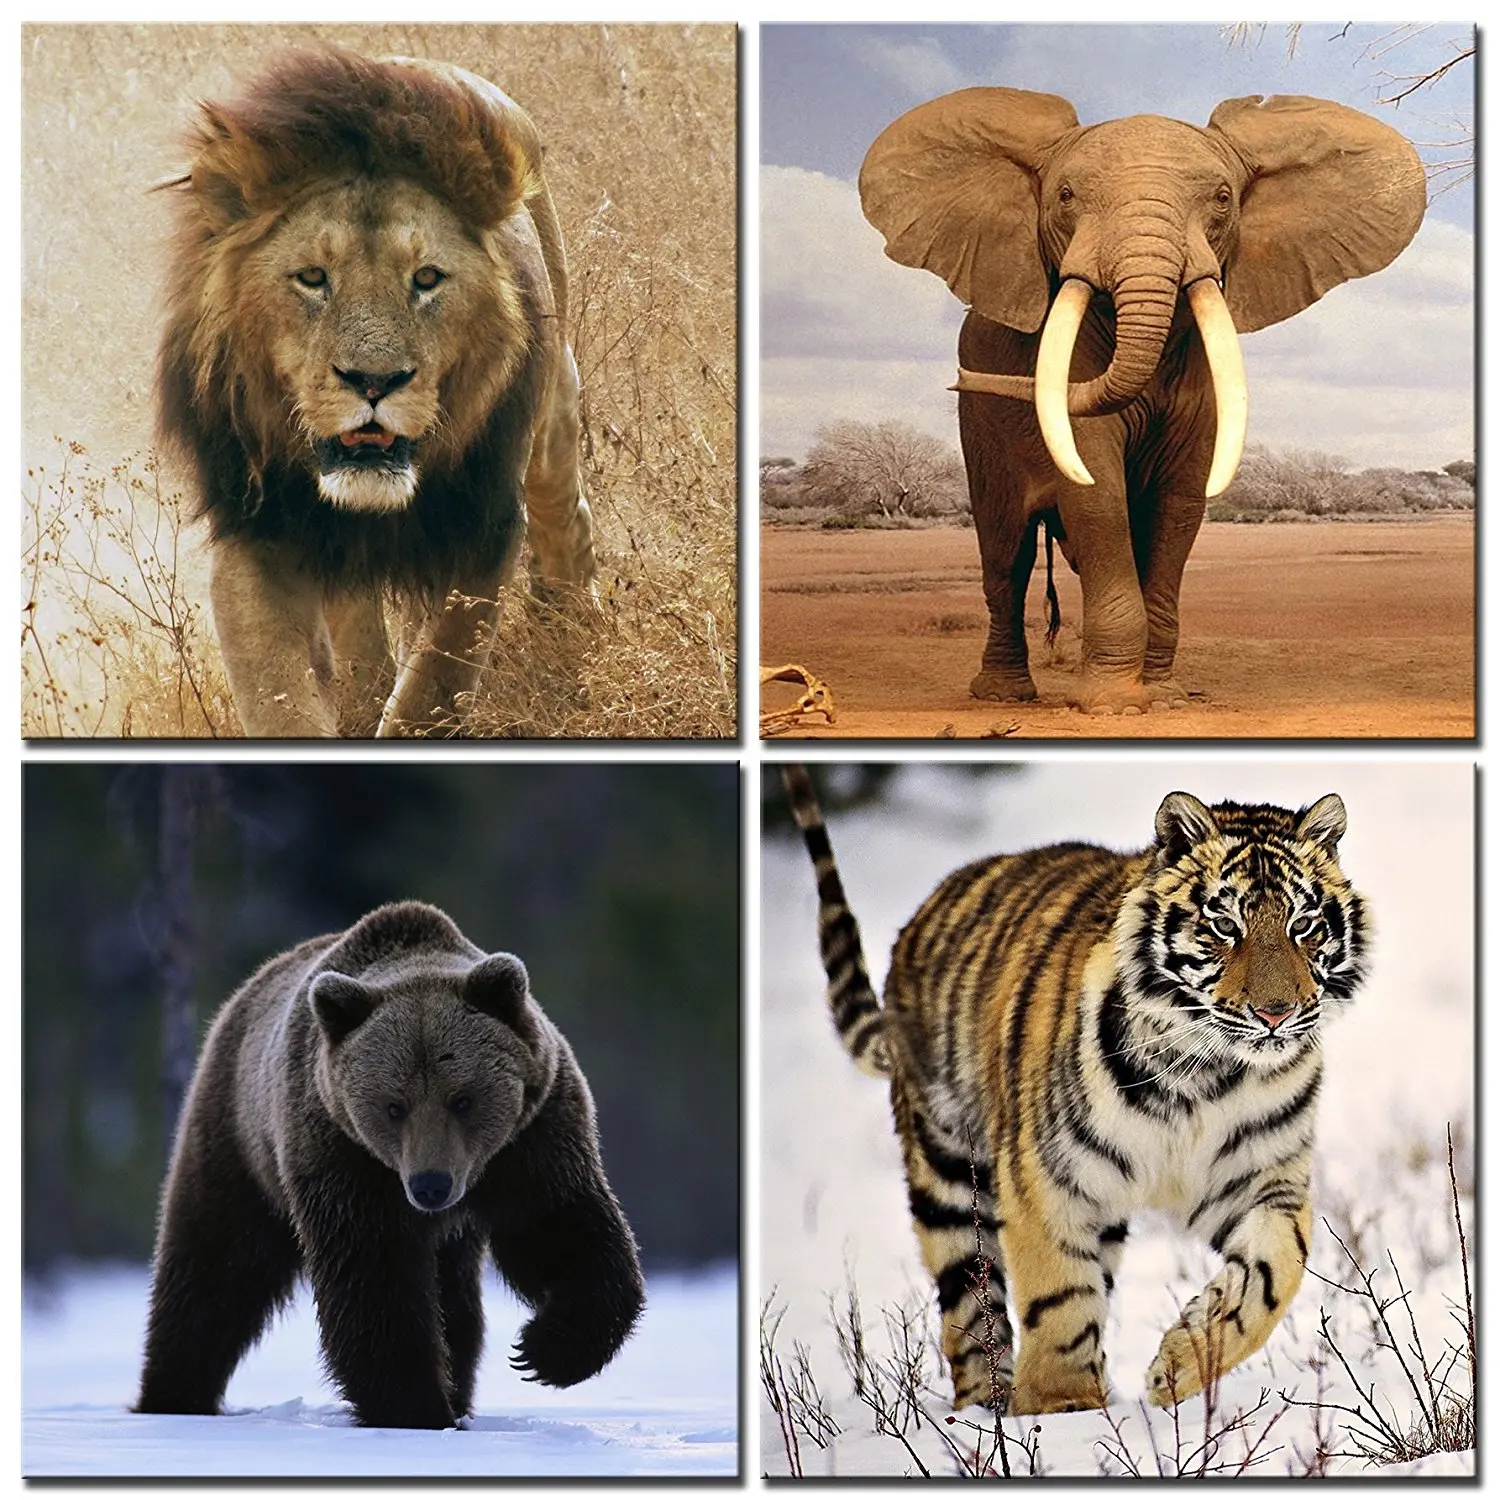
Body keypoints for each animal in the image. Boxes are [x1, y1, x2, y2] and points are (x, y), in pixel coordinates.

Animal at [779, 764, 1368, 1415]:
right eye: (1224, 926)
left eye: (1303, 925)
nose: (1276, 1013)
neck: (1206, 1072)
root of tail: (922, 916)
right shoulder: (1047, 1178)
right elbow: (1059, 1296)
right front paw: (1064, 1409)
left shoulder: (1263, 1178)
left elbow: (1273, 1273)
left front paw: (1179, 1366)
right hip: (948, 1176)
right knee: (969, 1311)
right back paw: (984, 1412)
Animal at [859, 90, 1425, 712]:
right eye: (1065, 196)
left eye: (1223, 198)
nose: (961, 378)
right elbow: (1097, 494)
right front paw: (1115, 705)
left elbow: (1180, 504)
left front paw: (1165, 698)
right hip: (980, 429)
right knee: (1006, 555)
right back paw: (1004, 696)